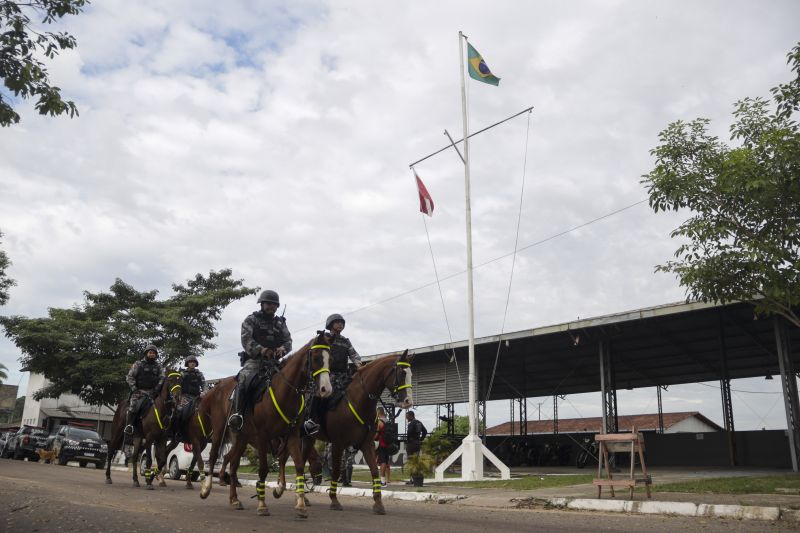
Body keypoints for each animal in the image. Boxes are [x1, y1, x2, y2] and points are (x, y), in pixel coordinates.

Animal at [198, 330, 332, 516]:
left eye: (329, 359)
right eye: (317, 357)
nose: (326, 389)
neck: (284, 392)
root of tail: (217, 387)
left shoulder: (292, 436)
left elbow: (297, 466)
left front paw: (300, 504)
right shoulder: (263, 437)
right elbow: (263, 469)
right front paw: (262, 504)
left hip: (240, 438)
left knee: (233, 463)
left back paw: (234, 499)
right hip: (219, 431)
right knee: (213, 457)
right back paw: (206, 489)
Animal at [274, 352, 416, 512]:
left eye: (410, 373)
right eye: (402, 373)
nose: (408, 401)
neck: (358, 400)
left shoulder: (367, 444)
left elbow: (375, 471)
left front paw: (378, 503)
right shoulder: (338, 444)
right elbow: (336, 471)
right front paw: (334, 500)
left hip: (307, 438)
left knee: (299, 460)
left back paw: (300, 496)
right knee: (285, 459)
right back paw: (283, 489)